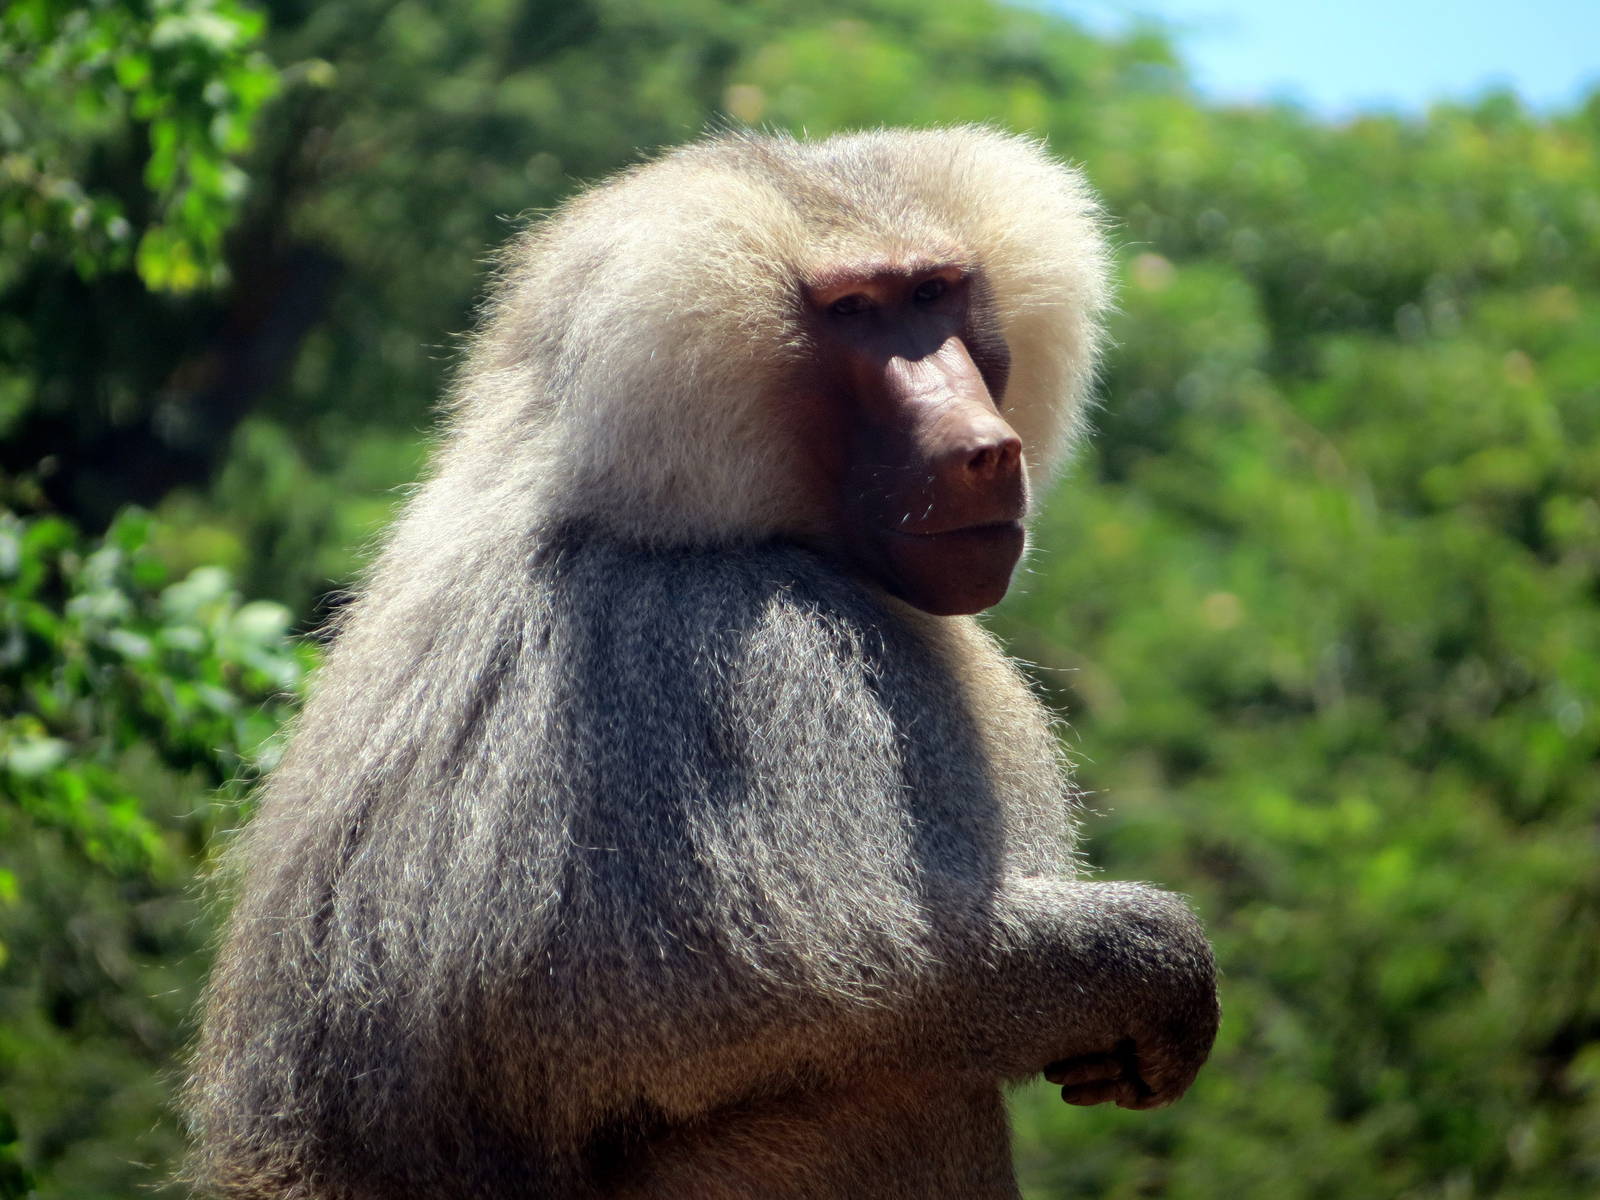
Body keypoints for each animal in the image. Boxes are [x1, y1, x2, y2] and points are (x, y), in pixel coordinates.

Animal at [184, 127, 1219, 1200]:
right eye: (854, 311)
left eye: (935, 292)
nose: (982, 449)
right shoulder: (746, 657)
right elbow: (834, 978)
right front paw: (1151, 972)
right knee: (903, 1079)